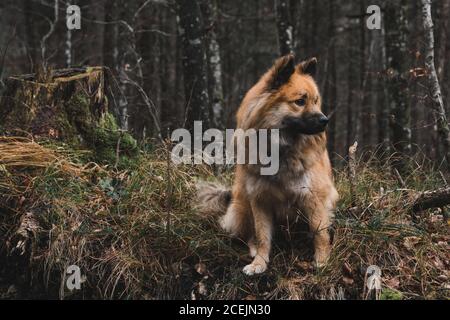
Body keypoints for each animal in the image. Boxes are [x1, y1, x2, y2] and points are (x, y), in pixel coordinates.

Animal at [197, 54, 338, 276]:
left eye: (316, 101)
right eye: (300, 101)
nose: (325, 120)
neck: (281, 150)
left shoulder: (314, 197)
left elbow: (319, 233)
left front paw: (322, 262)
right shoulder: (259, 199)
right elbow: (262, 235)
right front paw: (260, 263)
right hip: (243, 204)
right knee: (249, 235)